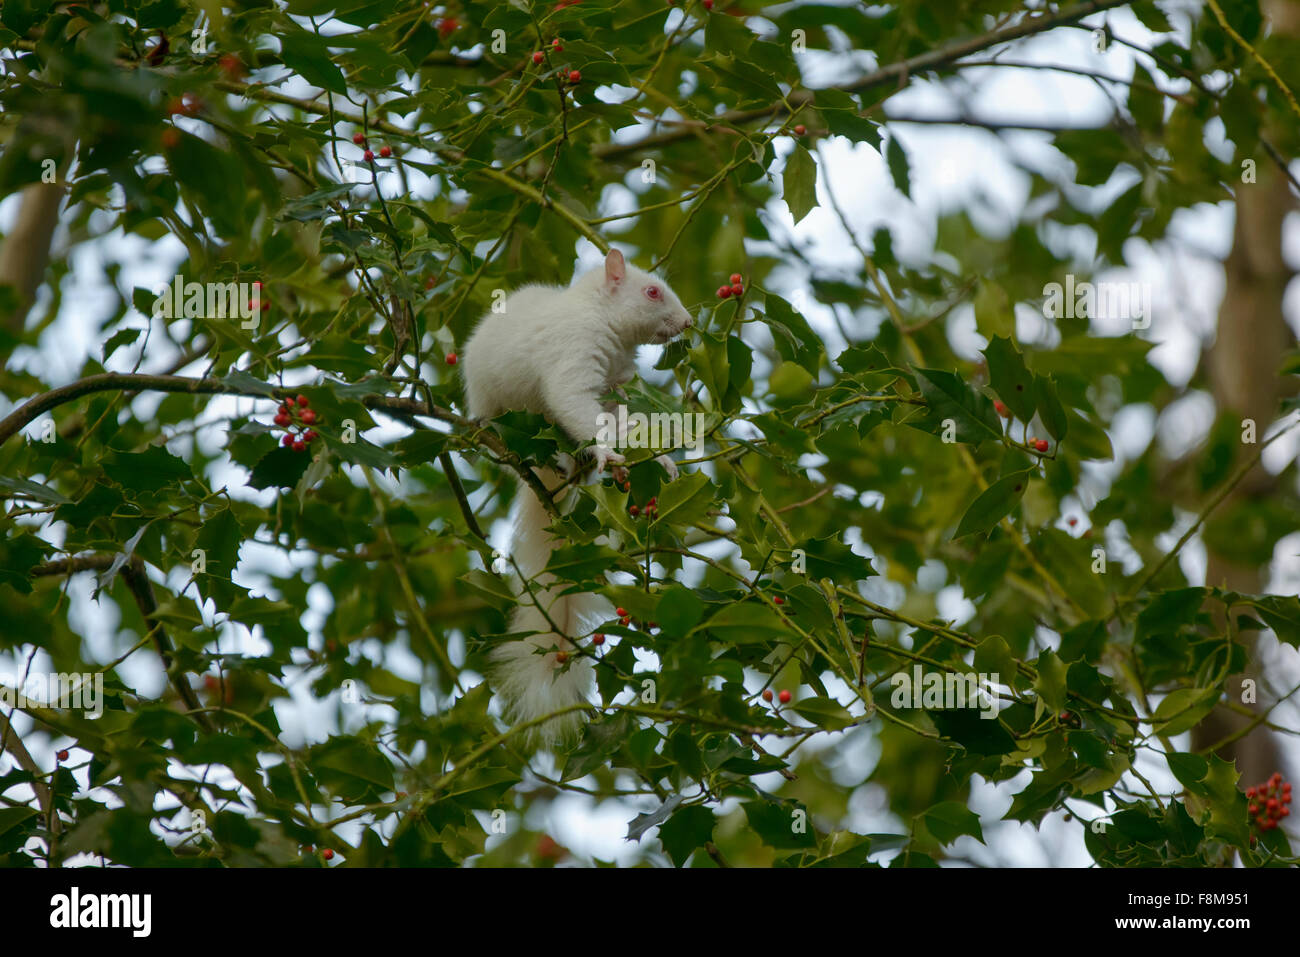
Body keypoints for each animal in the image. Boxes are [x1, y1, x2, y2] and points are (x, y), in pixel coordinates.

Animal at [461, 248, 694, 745]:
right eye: (652, 292)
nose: (687, 322)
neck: (603, 318)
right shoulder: (573, 355)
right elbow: (573, 402)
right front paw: (608, 451)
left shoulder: (617, 383)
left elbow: (622, 417)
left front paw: (661, 459)